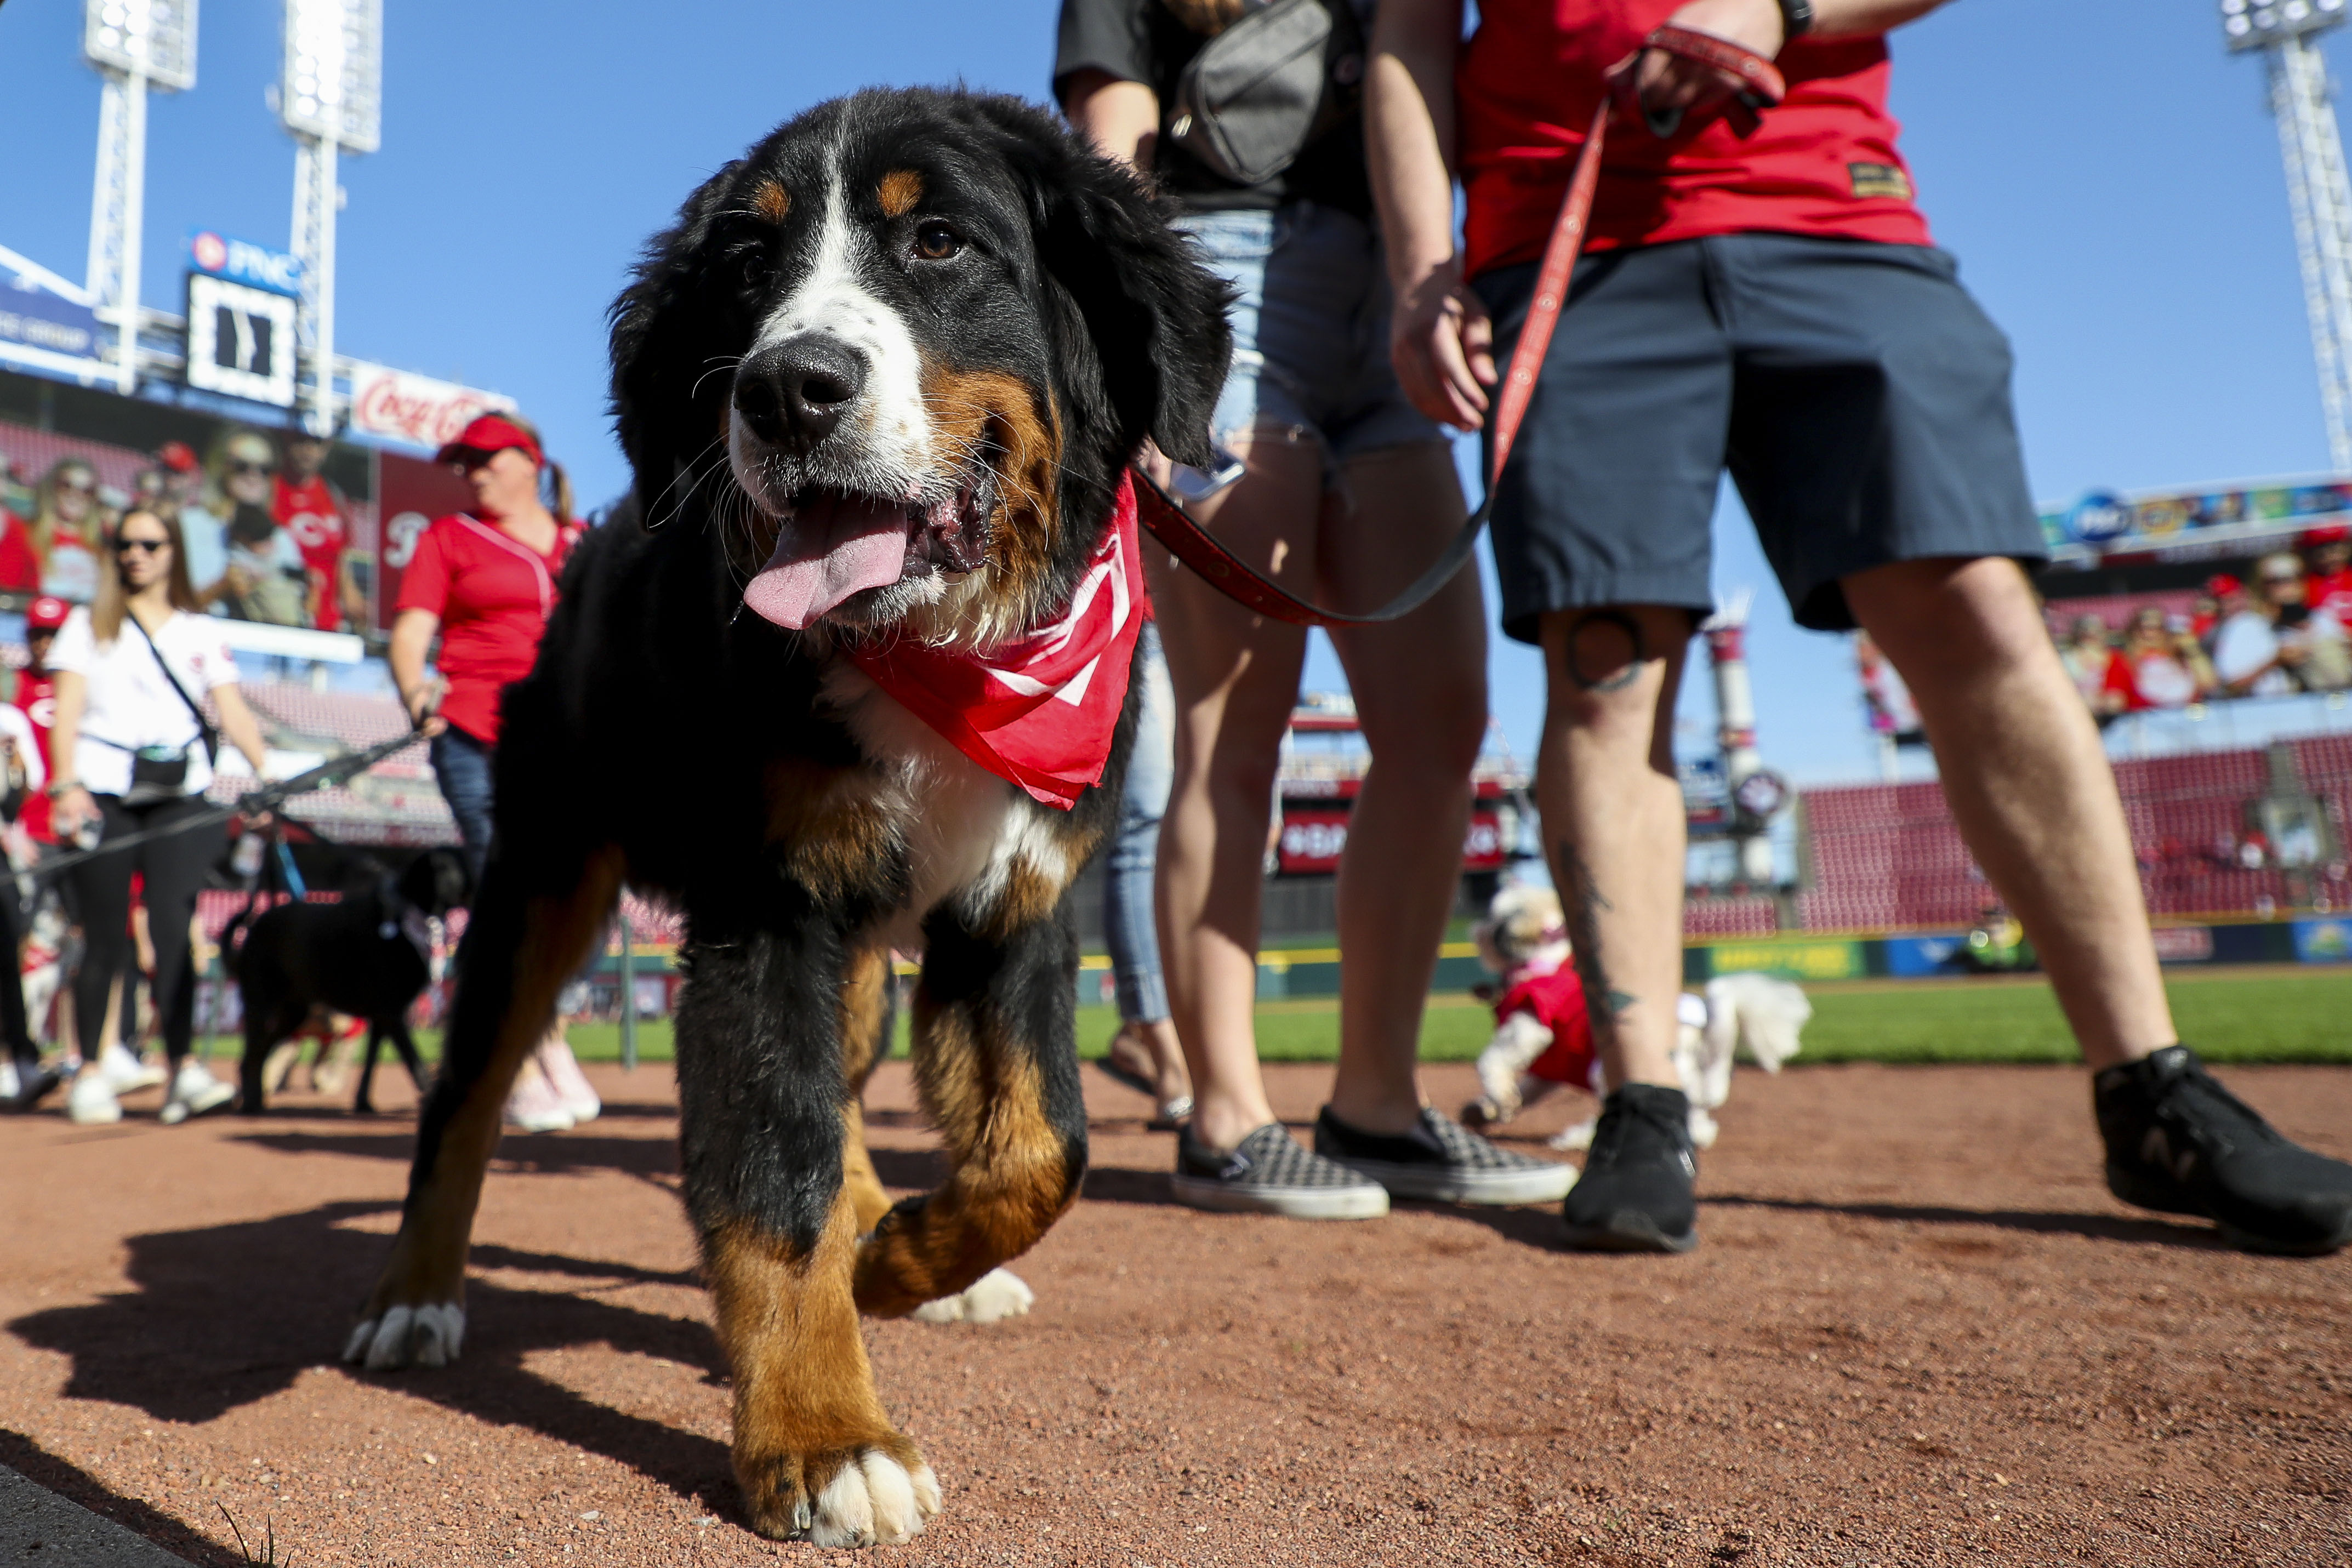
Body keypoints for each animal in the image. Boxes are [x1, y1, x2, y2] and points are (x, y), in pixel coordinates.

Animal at [230, 846, 472, 1114]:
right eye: (466, 863)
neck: (406, 914)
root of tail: (255, 926)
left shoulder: (383, 1016)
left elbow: (371, 1061)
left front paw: (364, 1102)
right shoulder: (391, 1012)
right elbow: (416, 1064)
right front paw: (432, 1098)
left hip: (294, 1013)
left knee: (259, 1053)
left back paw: (258, 1102)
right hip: (261, 1004)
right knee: (251, 1055)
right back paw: (250, 1104)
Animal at [348, 85, 1242, 1542]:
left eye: (938, 241)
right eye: (747, 270)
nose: (783, 387)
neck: (940, 660)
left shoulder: (1017, 908)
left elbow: (1041, 1148)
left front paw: (905, 1256)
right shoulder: (762, 915)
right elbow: (778, 1178)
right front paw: (826, 1434)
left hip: (860, 951)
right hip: (537, 883)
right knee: (464, 1100)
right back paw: (412, 1296)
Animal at [1458, 883, 1806, 1151]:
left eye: (1494, 917)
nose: (1477, 926)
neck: (1543, 965)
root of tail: (1697, 1036)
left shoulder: (1529, 1027)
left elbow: (1491, 1061)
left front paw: (1499, 1096)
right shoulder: (1549, 1070)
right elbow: (1528, 1088)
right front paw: (1488, 1109)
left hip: (1607, 1069)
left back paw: (1579, 1139)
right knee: (1696, 1123)